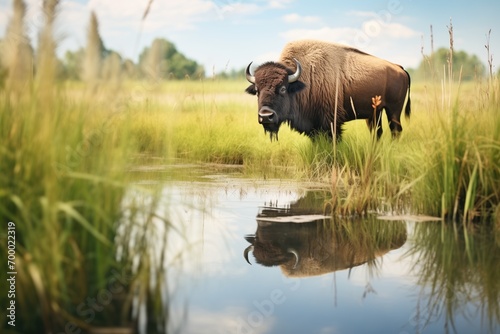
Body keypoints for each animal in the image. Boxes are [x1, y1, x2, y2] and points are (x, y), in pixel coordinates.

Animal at [244, 39, 412, 140]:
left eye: (283, 88)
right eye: (257, 90)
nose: (266, 116)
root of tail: (399, 68)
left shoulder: (331, 122)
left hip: (393, 110)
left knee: (395, 130)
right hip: (374, 113)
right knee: (377, 131)